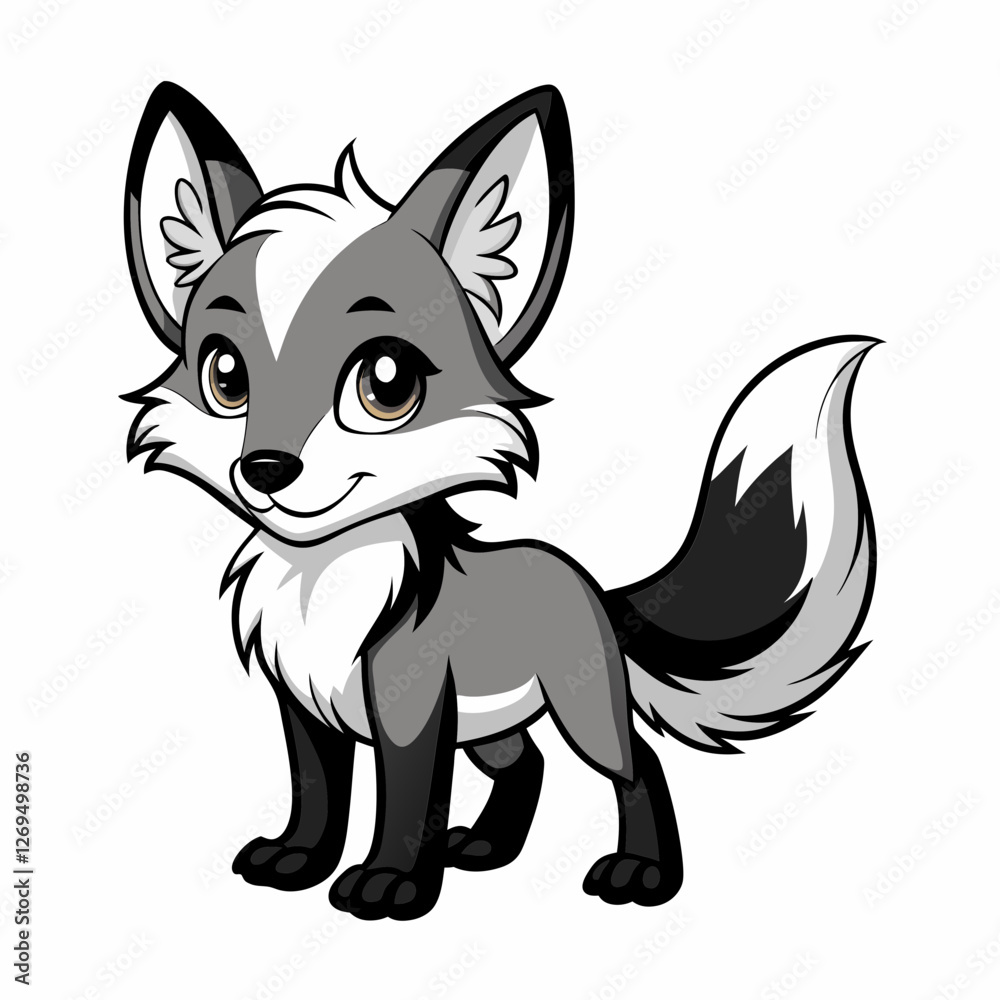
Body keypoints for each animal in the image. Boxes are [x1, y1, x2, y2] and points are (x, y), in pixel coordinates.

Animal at [123, 82, 877, 920]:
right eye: (225, 374)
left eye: (386, 381)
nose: (265, 467)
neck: (328, 581)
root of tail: (586, 579)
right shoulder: (305, 706)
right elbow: (318, 793)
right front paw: (299, 859)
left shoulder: (412, 711)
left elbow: (405, 803)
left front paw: (393, 884)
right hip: (490, 724)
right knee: (525, 762)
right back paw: (487, 847)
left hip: (581, 707)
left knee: (635, 764)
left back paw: (642, 873)